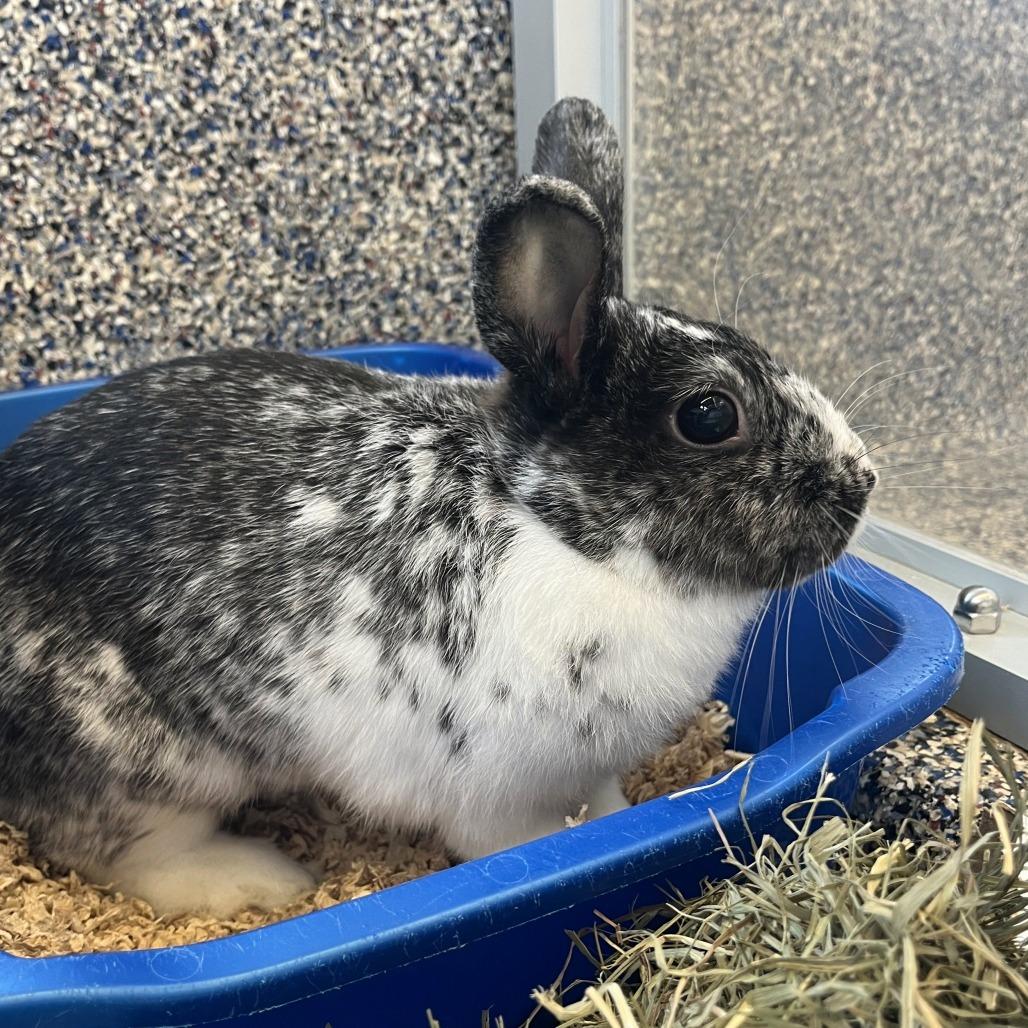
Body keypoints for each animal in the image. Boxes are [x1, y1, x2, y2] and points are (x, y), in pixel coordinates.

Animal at [0, 97, 877, 919]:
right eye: (708, 415)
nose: (862, 480)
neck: (561, 533)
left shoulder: (587, 768)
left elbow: (604, 805)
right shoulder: (494, 791)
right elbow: (519, 839)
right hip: (158, 768)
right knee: (125, 852)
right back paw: (259, 878)